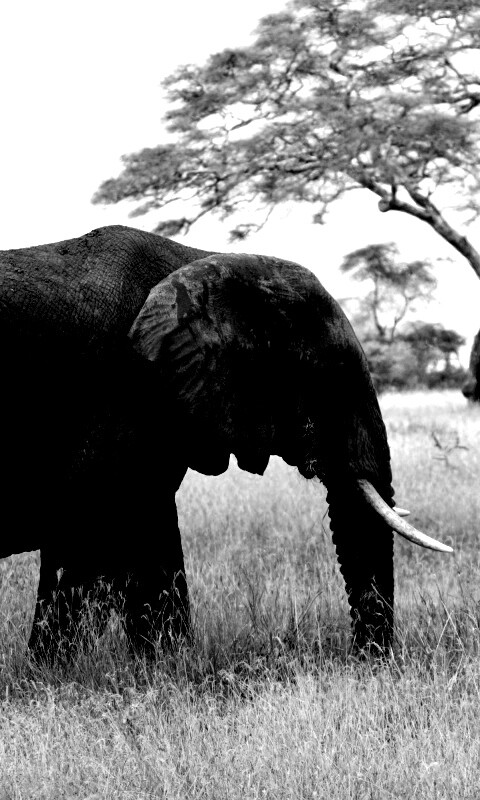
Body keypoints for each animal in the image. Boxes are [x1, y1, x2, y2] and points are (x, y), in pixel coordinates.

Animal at [0, 224, 451, 658]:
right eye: (328, 379)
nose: (365, 661)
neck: (203, 261)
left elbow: (152, 545)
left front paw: (167, 665)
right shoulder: (121, 396)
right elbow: (92, 541)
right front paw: (52, 670)